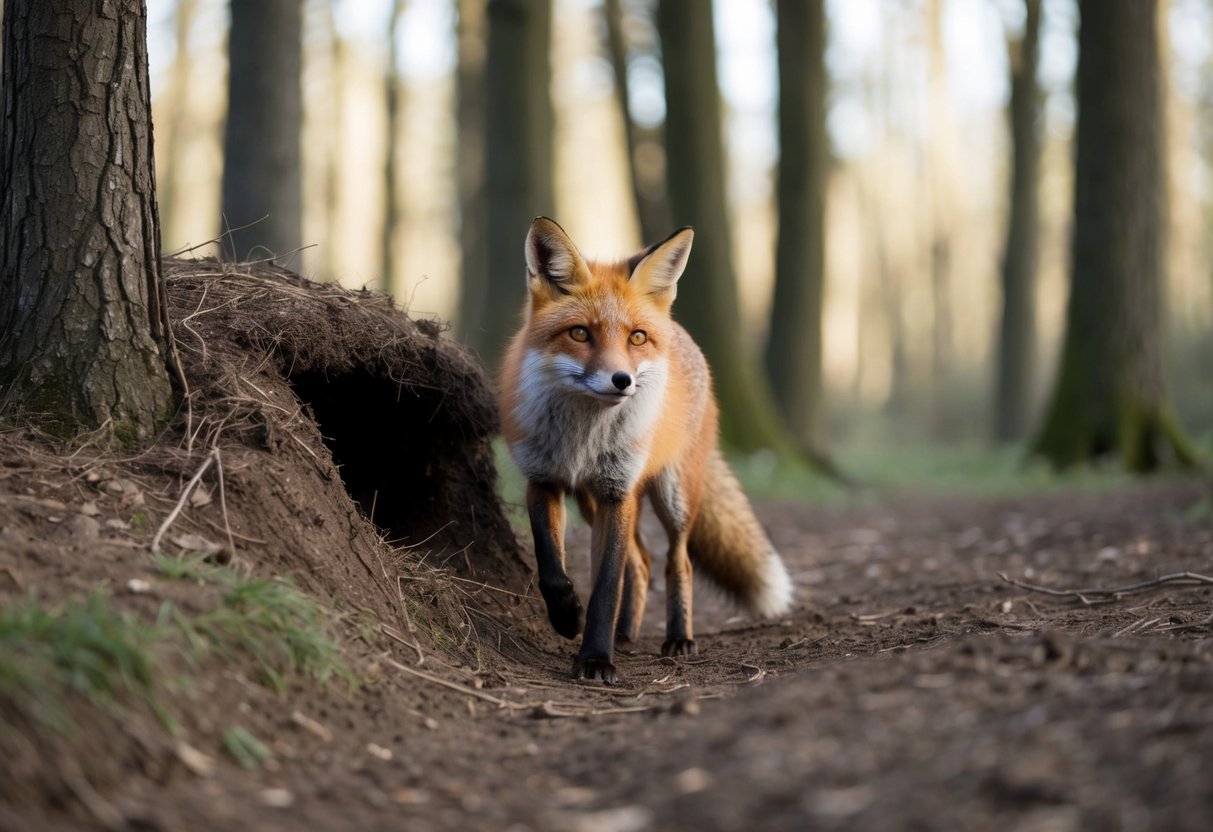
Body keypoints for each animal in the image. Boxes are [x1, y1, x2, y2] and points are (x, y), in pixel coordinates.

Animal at [499, 217, 794, 683]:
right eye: (580, 333)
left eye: (636, 337)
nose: (622, 380)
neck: (584, 441)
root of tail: (679, 331)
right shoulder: (544, 480)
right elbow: (553, 571)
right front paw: (568, 617)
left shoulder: (617, 492)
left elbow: (605, 586)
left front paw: (595, 659)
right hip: (592, 502)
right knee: (642, 562)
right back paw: (625, 635)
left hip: (673, 496)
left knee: (676, 561)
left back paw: (678, 639)